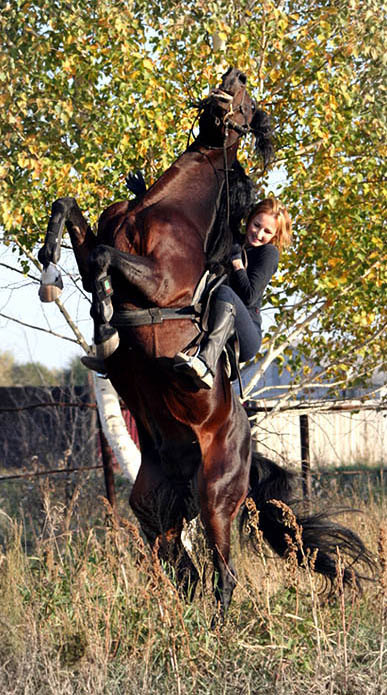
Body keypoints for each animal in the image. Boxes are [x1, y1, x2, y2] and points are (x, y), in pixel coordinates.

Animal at [37, 66, 376, 620]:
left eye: (248, 98)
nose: (233, 75)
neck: (166, 205)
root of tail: (246, 447)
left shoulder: (158, 281)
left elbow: (105, 258)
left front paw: (106, 328)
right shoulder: (99, 245)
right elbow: (71, 215)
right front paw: (53, 272)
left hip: (214, 497)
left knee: (223, 574)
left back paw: (216, 626)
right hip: (154, 507)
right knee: (183, 566)